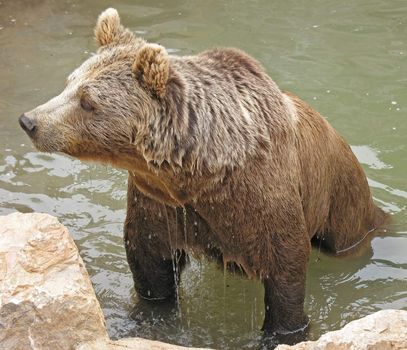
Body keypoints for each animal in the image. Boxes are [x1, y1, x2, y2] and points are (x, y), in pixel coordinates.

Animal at [19, 8, 388, 336]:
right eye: (70, 83)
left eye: (87, 101)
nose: (30, 121)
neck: (199, 176)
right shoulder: (160, 202)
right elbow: (149, 258)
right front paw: (151, 314)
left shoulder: (262, 196)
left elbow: (285, 263)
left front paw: (284, 331)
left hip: (340, 199)